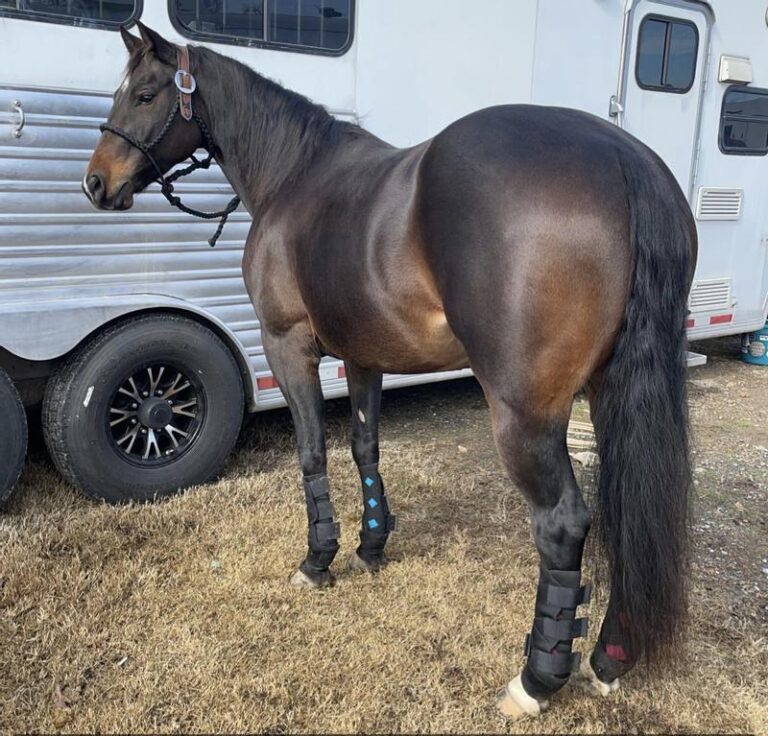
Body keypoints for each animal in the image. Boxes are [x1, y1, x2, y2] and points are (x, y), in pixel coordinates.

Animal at [84, 21, 696, 720]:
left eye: (146, 93)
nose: (95, 182)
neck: (295, 174)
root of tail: (623, 158)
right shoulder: (363, 356)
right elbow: (364, 446)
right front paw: (371, 545)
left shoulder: (286, 345)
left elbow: (313, 453)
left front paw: (319, 560)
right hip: (610, 392)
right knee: (626, 513)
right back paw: (610, 658)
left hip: (524, 411)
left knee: (564, 523)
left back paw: (536, 680)